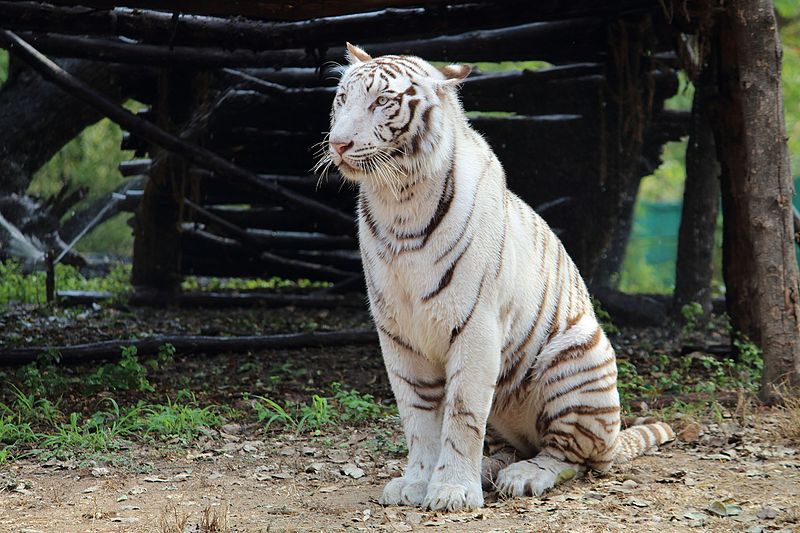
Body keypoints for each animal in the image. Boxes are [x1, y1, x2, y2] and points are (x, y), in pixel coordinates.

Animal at [320, 44, 676, 512]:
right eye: (343, 99)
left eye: (382, 102)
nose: (338, 143)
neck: (399, 202)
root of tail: (615, 440)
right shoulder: (398, 332)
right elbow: (417, 416)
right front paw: (417, 482)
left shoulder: (475, 326)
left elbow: (463, 415)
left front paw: (451, 491)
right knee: (515, 445)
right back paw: (492, 467)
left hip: (580, 354)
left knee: (572, 457)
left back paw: (524, 476)